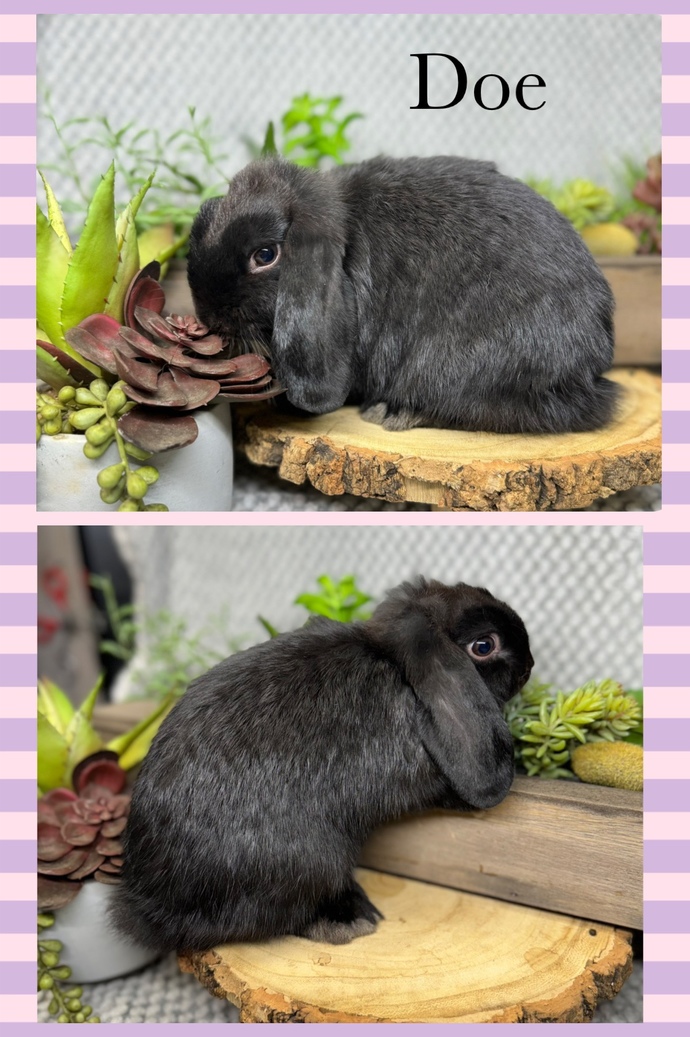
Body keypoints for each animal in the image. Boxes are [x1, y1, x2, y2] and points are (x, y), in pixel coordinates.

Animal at [110, 577, 533, 953]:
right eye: (484, 645)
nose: (529, 666)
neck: (396, 668)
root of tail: (147, 908)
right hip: (316, 862)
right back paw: (349, 918)